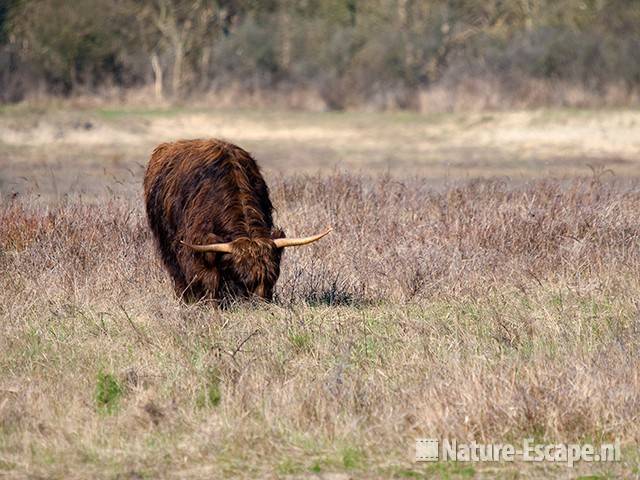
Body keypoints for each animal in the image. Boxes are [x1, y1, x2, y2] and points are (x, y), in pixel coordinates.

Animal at [143, 140, 332, 304]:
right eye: (242, 279)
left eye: (271, 278)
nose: (261, 305)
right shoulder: (198, 246)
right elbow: (209, 278)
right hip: (165, 242)